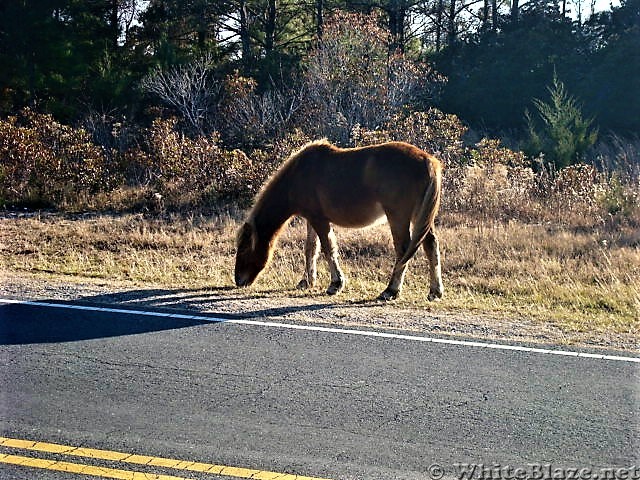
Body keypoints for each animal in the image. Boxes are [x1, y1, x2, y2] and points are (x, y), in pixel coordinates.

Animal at [235, 139, 444, 300]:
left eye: (244, 248)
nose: (238, 280)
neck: (299, 176)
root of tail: (428, 161)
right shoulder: (311, 219)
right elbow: (311, 249)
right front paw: (307, 281)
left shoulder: (319, 220)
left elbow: (328, 249)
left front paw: (335, 284)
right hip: (419, 218)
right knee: (430, 245)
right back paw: (435, 291)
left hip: (398, 217)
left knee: (403, 250)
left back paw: (391, 290)